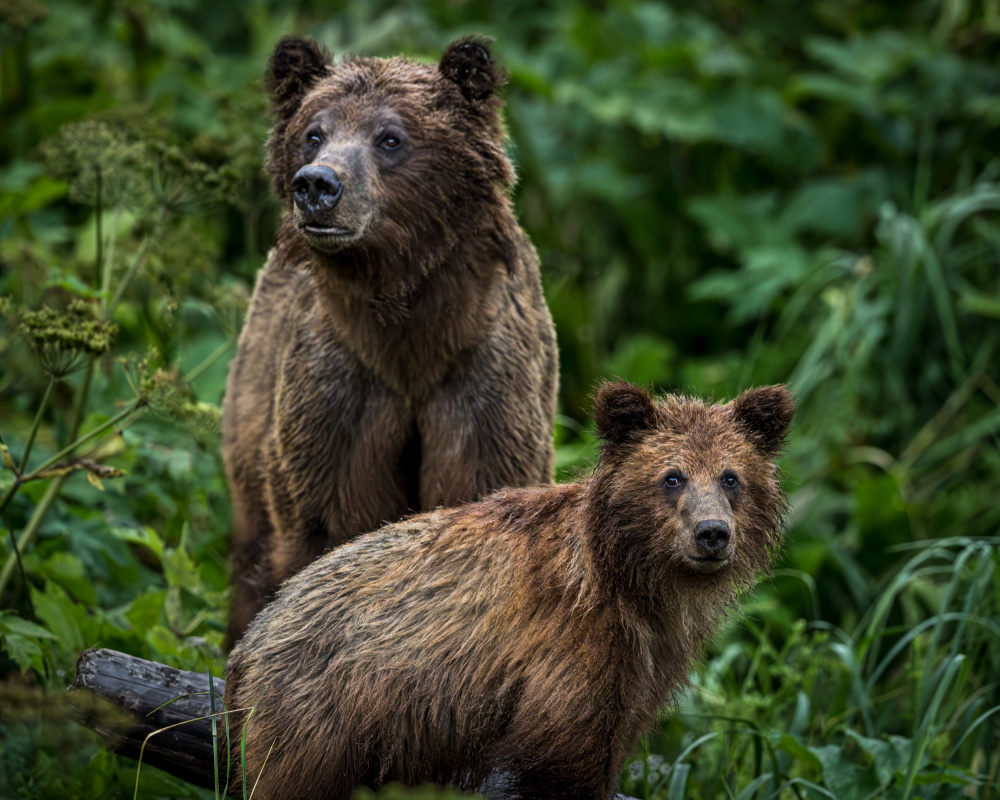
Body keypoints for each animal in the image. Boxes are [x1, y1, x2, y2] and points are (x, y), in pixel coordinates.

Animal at [222, 37, 560, 648]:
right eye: (314, 132)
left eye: (391, 137)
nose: (318, 184)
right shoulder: (341, 388)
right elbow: (330, 523)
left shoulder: (482, 385)